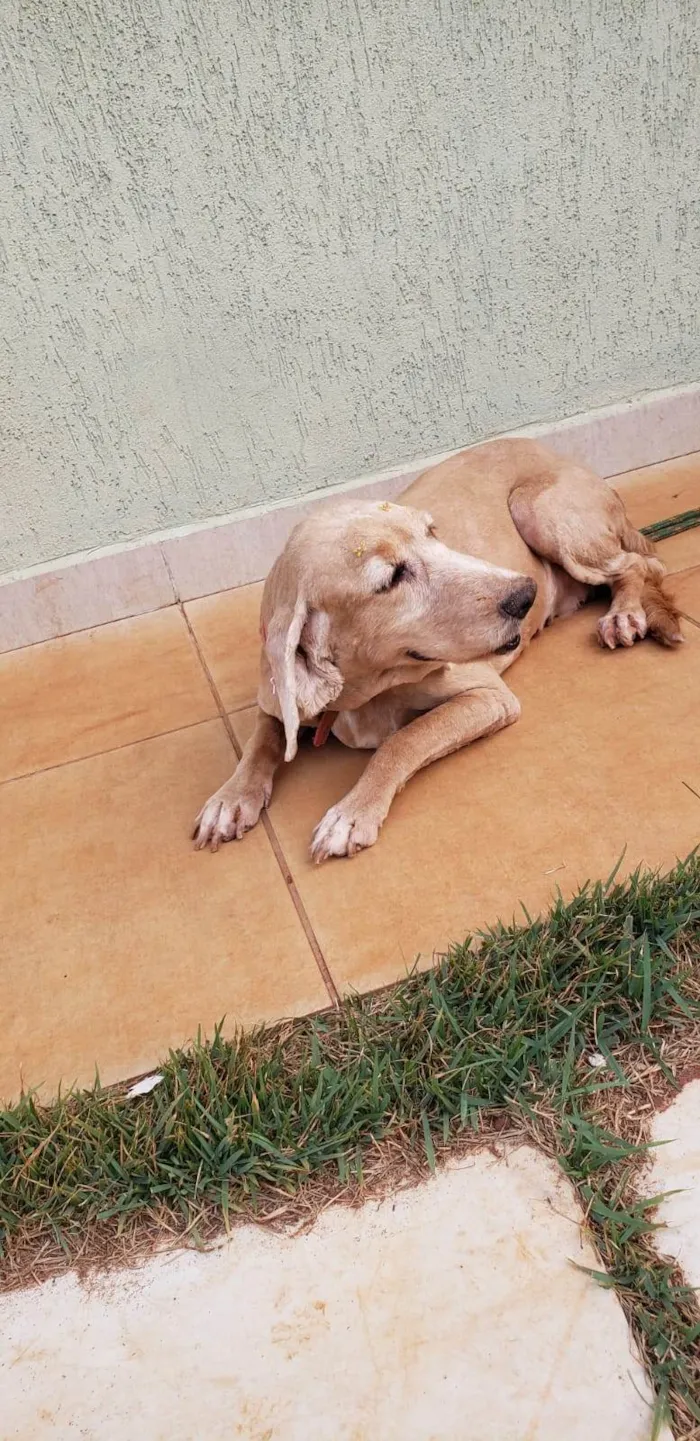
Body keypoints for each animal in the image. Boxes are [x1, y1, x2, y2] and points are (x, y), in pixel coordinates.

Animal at [190, 438, 676, 858]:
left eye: (432, 533)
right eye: (391, 578)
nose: (525, 595)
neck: (359, 693)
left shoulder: (489, 696)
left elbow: (403, 739)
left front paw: (352, 812)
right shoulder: (275, 695)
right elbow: (261, 740)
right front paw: (230, 798)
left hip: (538, 510)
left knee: (640, 564)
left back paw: (624, 613)